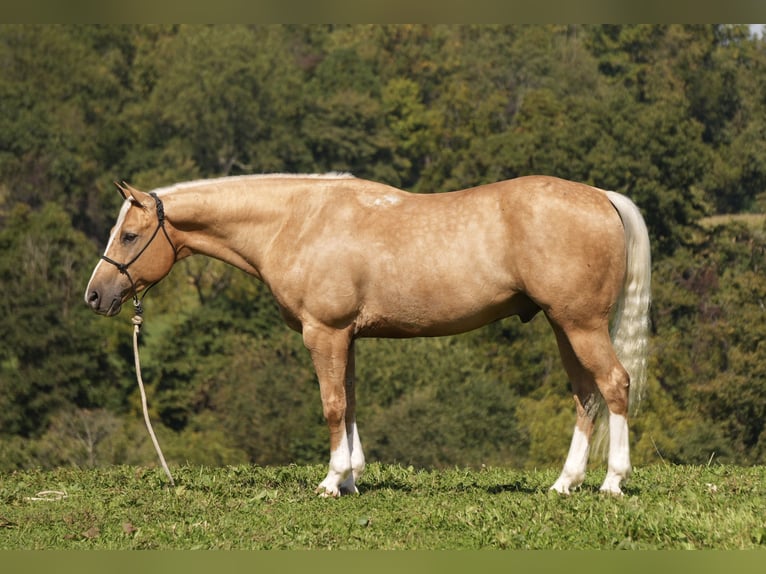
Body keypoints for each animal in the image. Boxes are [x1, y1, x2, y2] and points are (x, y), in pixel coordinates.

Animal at [85, 173, 651, 497]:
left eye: (129, 236)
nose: (95, 295)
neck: (298, 221)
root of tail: (602, 198)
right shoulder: (347, 337)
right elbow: (351, 400)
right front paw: (353, 477)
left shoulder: (325, 333)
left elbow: (333, 404)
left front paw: (332, 481)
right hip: (563, 325)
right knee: (585, 395)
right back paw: (564, 484)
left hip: (580, 324)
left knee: (614, 385)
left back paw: (612, 483)